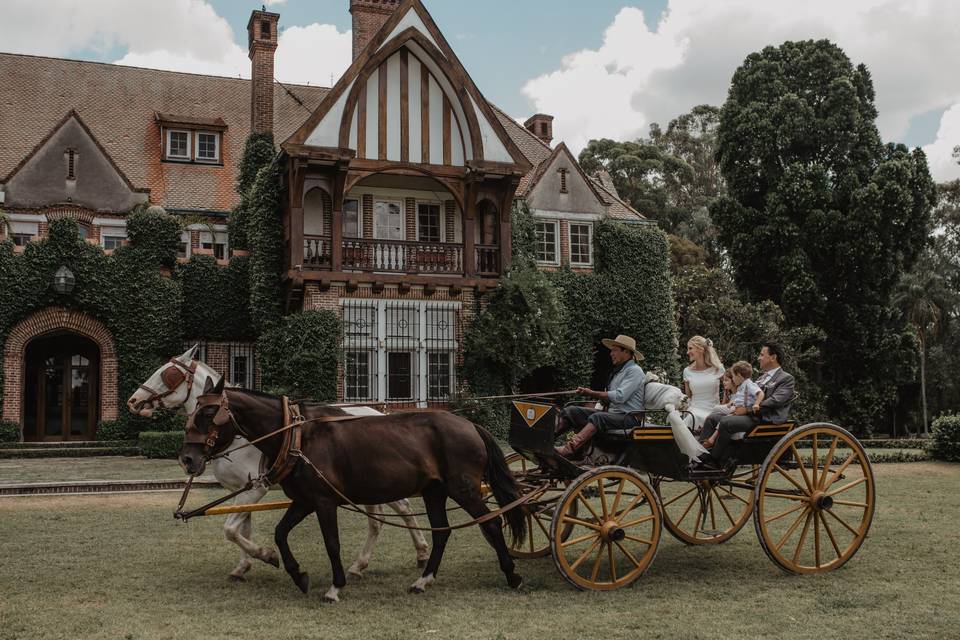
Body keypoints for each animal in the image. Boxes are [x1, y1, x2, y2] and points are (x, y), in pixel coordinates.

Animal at [127, 348, 428, 584]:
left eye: (167, 373)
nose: (133, 401)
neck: (241, 433)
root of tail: (380, 412)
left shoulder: (255, 487)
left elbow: (230, 529)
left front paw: (266, 555)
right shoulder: (240, 489)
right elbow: (241, 527)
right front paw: (242, 566)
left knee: (399, 510)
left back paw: (415, 552)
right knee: (388, 514)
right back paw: (382, 560)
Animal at [180, 382, 524, 604]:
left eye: (208, 415)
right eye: (192, 413)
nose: (187, 459)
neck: (297, 435)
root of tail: (470, 424)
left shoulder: (323, 501)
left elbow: (332, 543)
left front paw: (335, 587)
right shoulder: (304, 500)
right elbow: (279, 533)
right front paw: (293, 571)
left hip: (464, 488)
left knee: (492, 524)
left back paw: (512, 576)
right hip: (434, 491)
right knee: (442, 532)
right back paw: (423, 580)